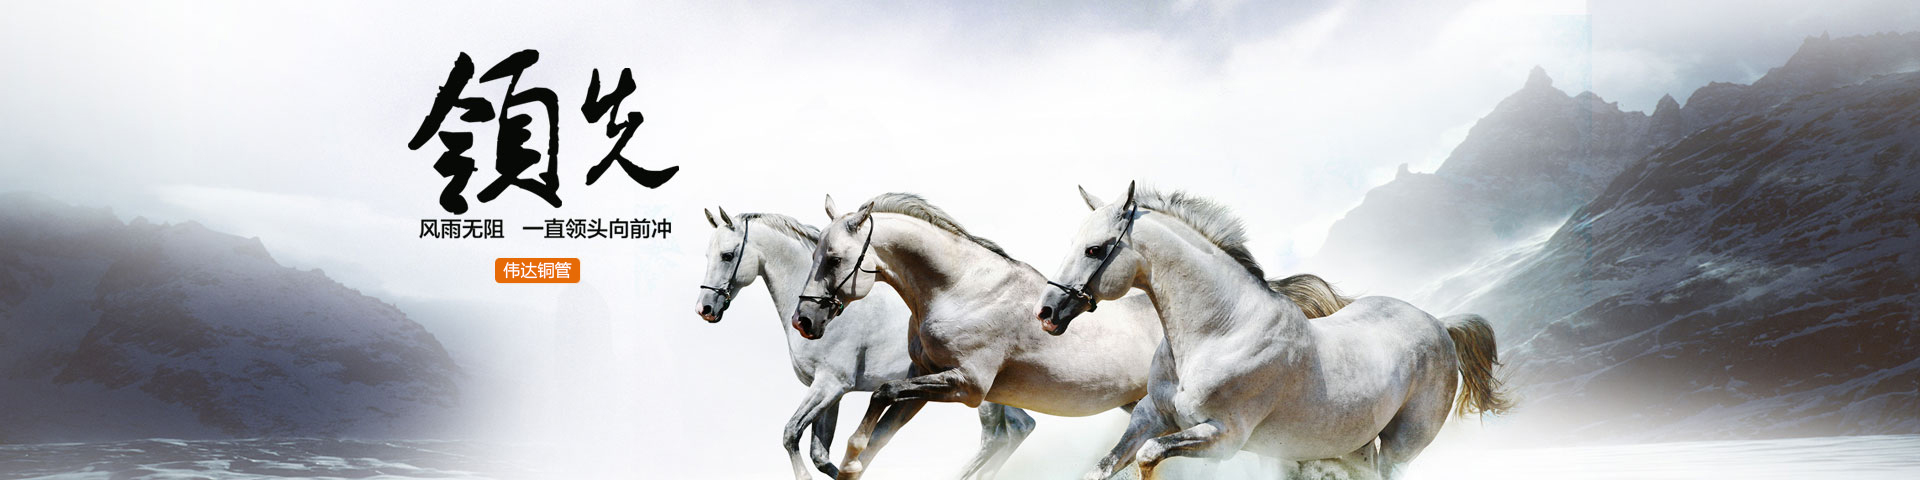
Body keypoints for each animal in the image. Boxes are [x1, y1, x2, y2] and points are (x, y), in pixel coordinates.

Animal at [696, 207, 1041, 480]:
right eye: (707, 255)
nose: (705, 309)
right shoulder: (830, 392)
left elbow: (791, 434)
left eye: (727, 255)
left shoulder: (830, 385)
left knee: (996, 437)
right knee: (1020, 427)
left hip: (977, 394)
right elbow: (820, 454)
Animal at [787, 193, 1165, 479]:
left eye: (834, 259)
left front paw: (849, 459)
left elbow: (882, 394)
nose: (803, 320)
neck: (960, 290)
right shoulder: (923, 381)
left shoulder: (968, 386)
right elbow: (875, 438)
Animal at [1035, 183, 1511, 480]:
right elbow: (1103, 466)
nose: (1047, 311)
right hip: (1353, 442)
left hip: (1400, 448)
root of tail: (1440, 325)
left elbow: (1150, 457)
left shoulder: (1223, 437)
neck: (1220, 332)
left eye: (1094, 249)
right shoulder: (1149, 415)